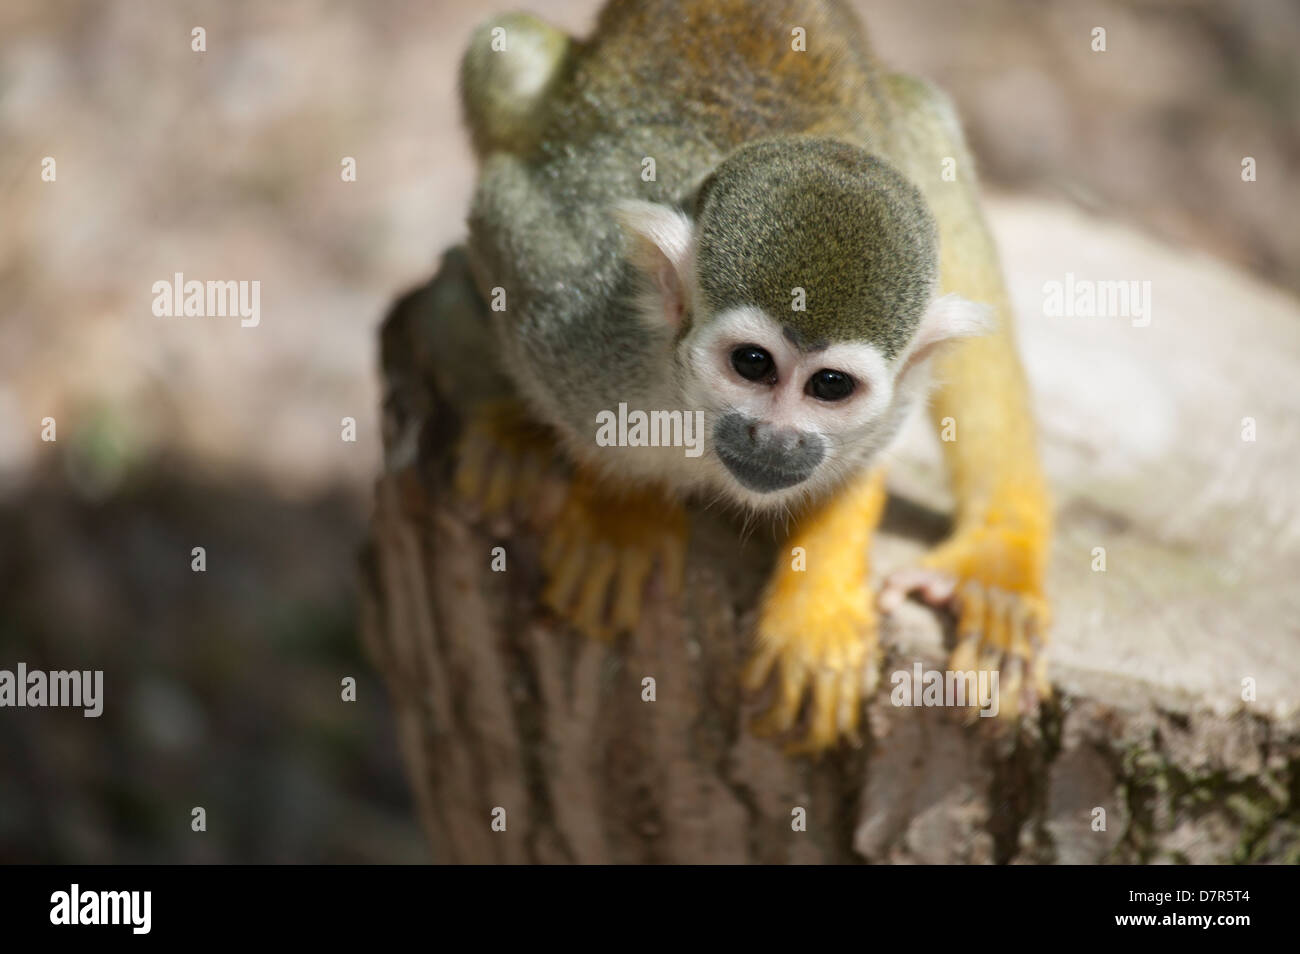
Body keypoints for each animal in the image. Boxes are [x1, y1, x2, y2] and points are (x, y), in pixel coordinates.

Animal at [452, 0, 1050, 748]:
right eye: (753, 364)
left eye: (830, 386)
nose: (777, 438)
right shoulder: (570, 320)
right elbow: (502, 211)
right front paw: (623, 507)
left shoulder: (900, 387)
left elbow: (864, 463)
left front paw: (819, 601)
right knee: (503, 58)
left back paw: (1001, 553)